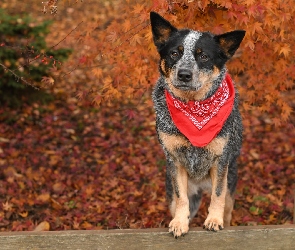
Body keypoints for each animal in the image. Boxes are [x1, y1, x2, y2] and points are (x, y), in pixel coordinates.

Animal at [151, 12, 246, 238]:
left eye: (203, 57)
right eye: (175, 53)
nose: (184, 74)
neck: (195, 107)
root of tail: (201, 185)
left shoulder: (221, 160)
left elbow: (218, 195)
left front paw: (213, 220)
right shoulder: (175, 160)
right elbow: (181, 197)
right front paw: (179, 223)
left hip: (230, 185)